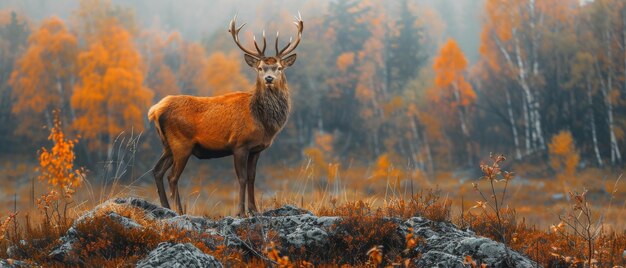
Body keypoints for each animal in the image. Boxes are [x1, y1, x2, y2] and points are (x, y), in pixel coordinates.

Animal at [147, 14, 302, 216]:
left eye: (279, 67)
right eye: (260, 68)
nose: (269, 79)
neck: (263, 122)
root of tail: (155, 110)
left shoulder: (257, 148)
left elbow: (252, 177)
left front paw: (254, 209)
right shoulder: (239, 144)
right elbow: (242, 178)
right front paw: (241, 212)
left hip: (167, 145)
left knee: (157, 171)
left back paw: (166, 207)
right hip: (181, 143)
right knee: (172, 177)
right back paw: (180, 211)